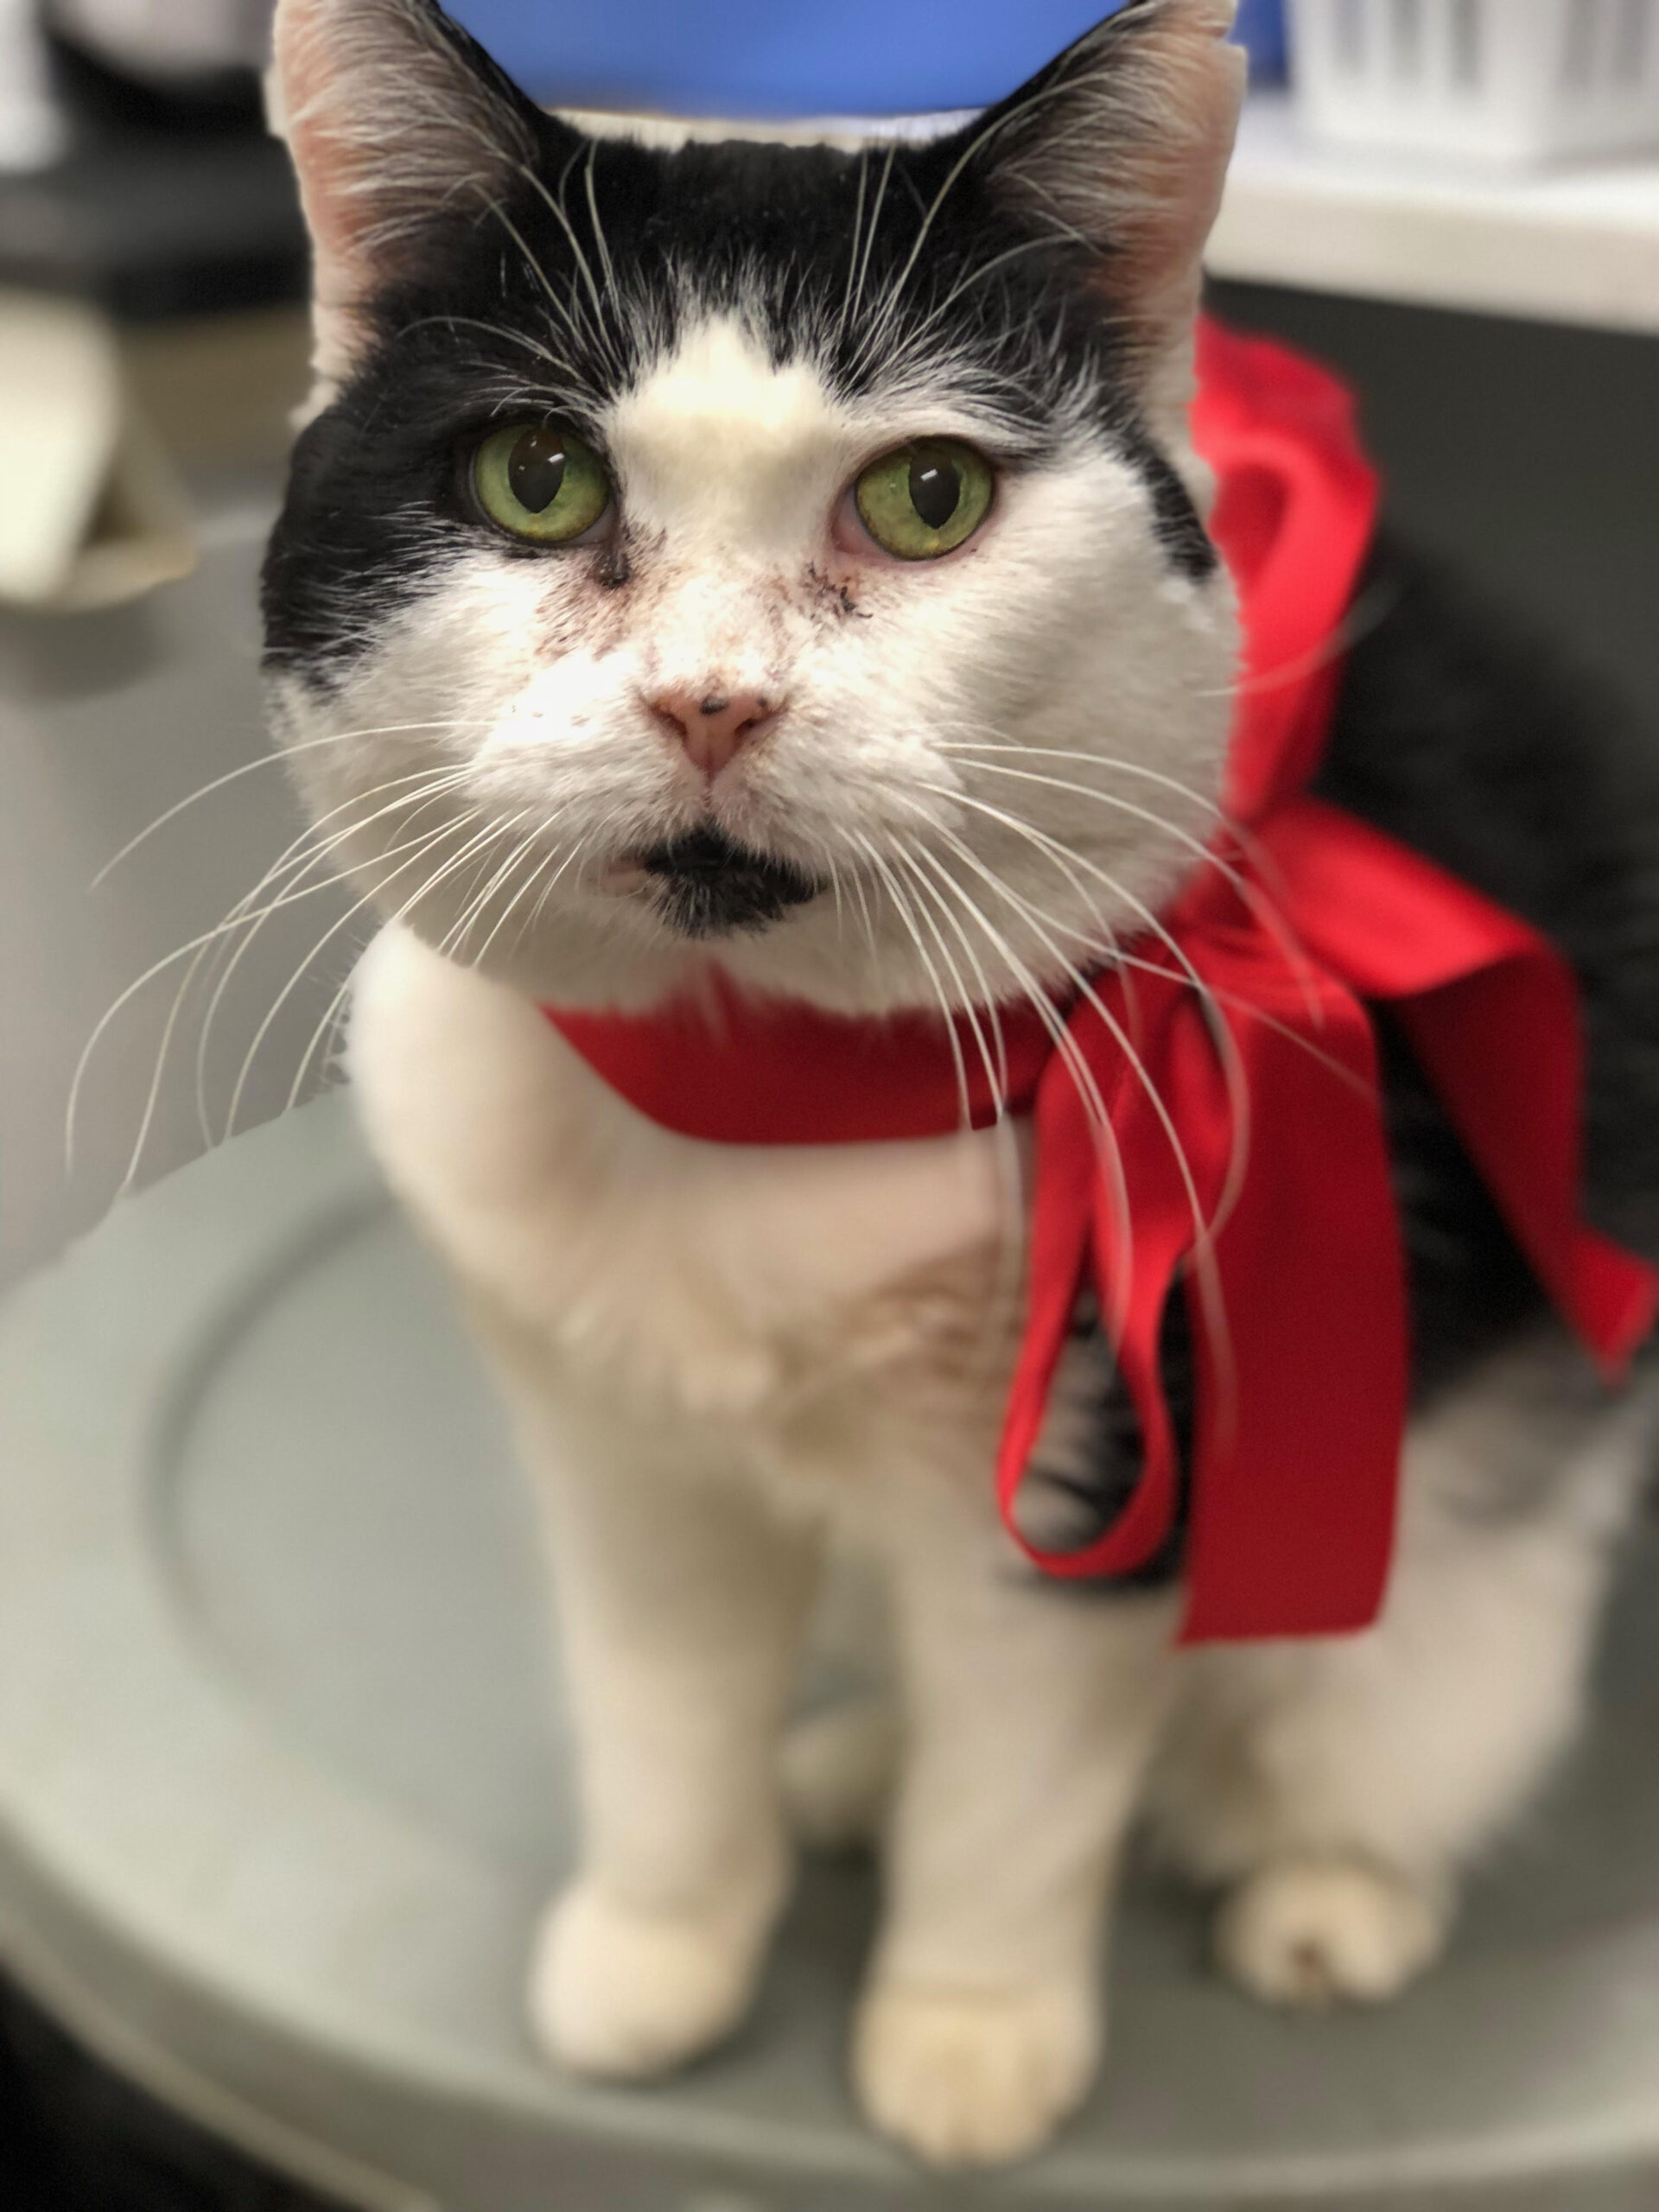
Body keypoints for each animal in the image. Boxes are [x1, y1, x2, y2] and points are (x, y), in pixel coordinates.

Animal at [256, 0, 1659, 2167]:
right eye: (536, 474)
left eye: (927, 496)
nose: (712, 698)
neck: (751, 1095)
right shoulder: (619, 1456)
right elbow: (660, 1710)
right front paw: (660, 1941)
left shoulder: (1097, 1448)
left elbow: (1022, 1795)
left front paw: (967, 2031)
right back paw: (853, 1766)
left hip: (1463, 1567)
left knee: (1381, 1725)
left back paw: (1329, 1892)